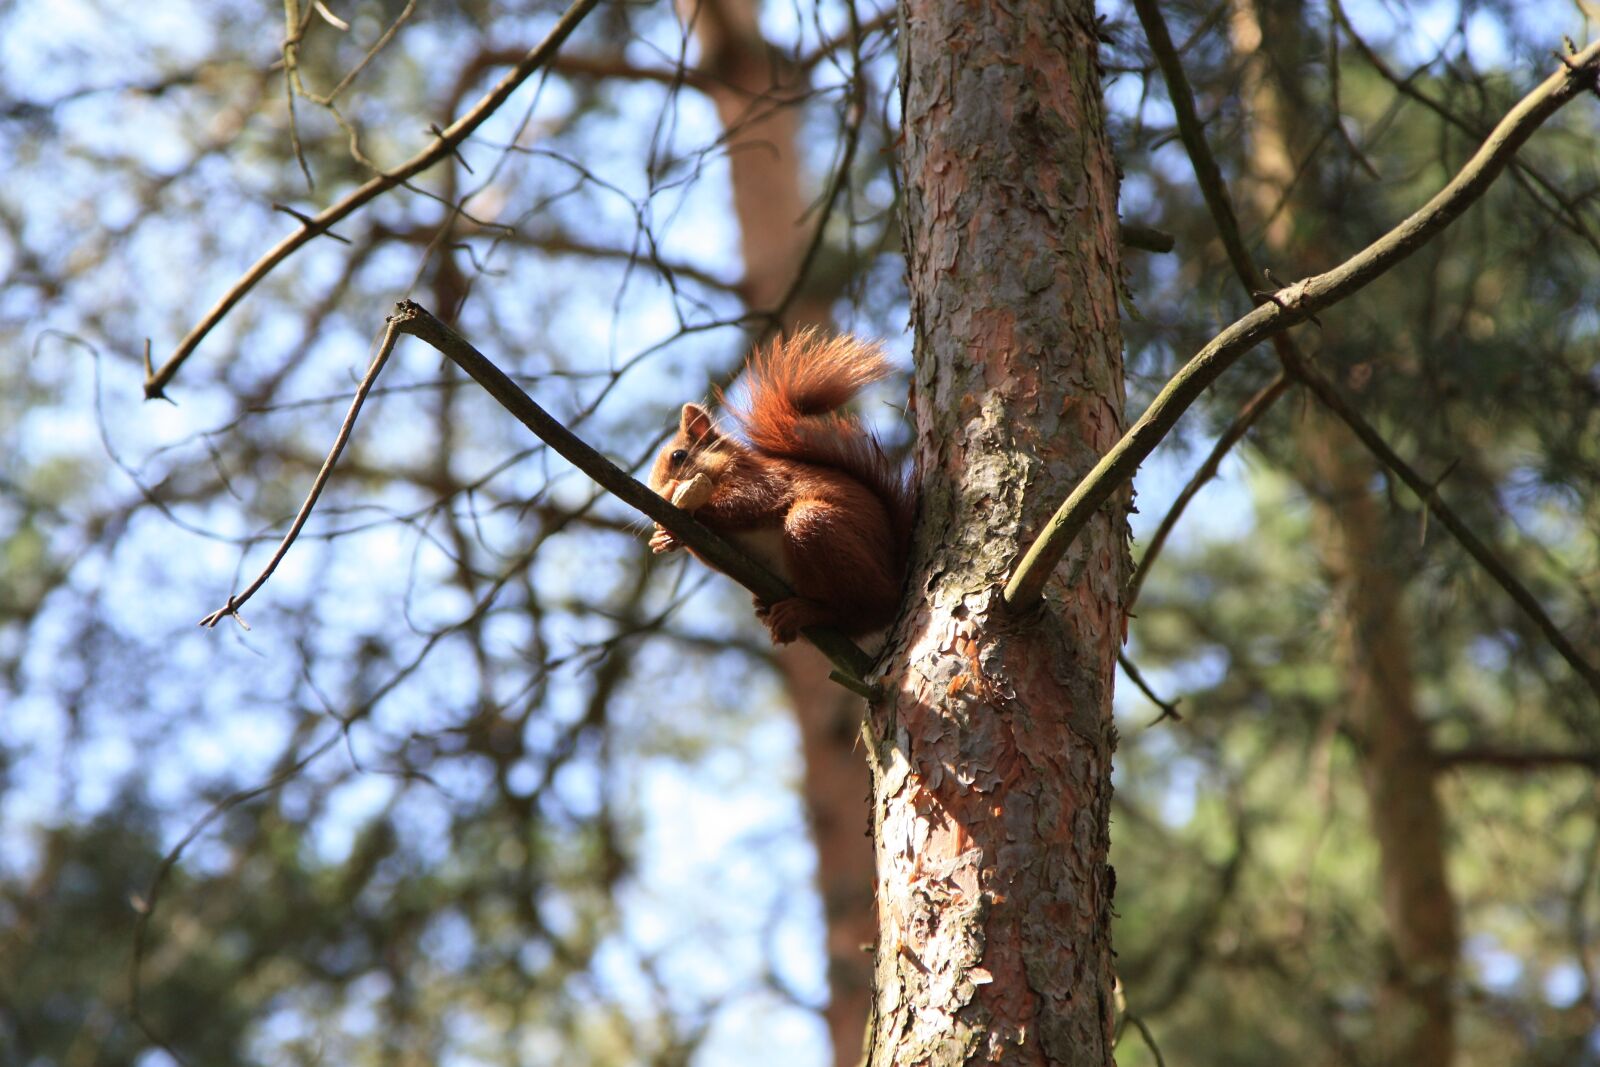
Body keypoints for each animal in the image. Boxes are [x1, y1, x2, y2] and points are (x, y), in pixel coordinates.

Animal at [648, 330, 915, 645]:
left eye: (679, 456)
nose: (658, 494)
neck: (726, 467)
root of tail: (894, 576)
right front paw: (664, 537)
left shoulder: (762, 480)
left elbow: (745, 503)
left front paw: (681, 503)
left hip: (815, 527)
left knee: (864, 609)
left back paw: (808, 612)